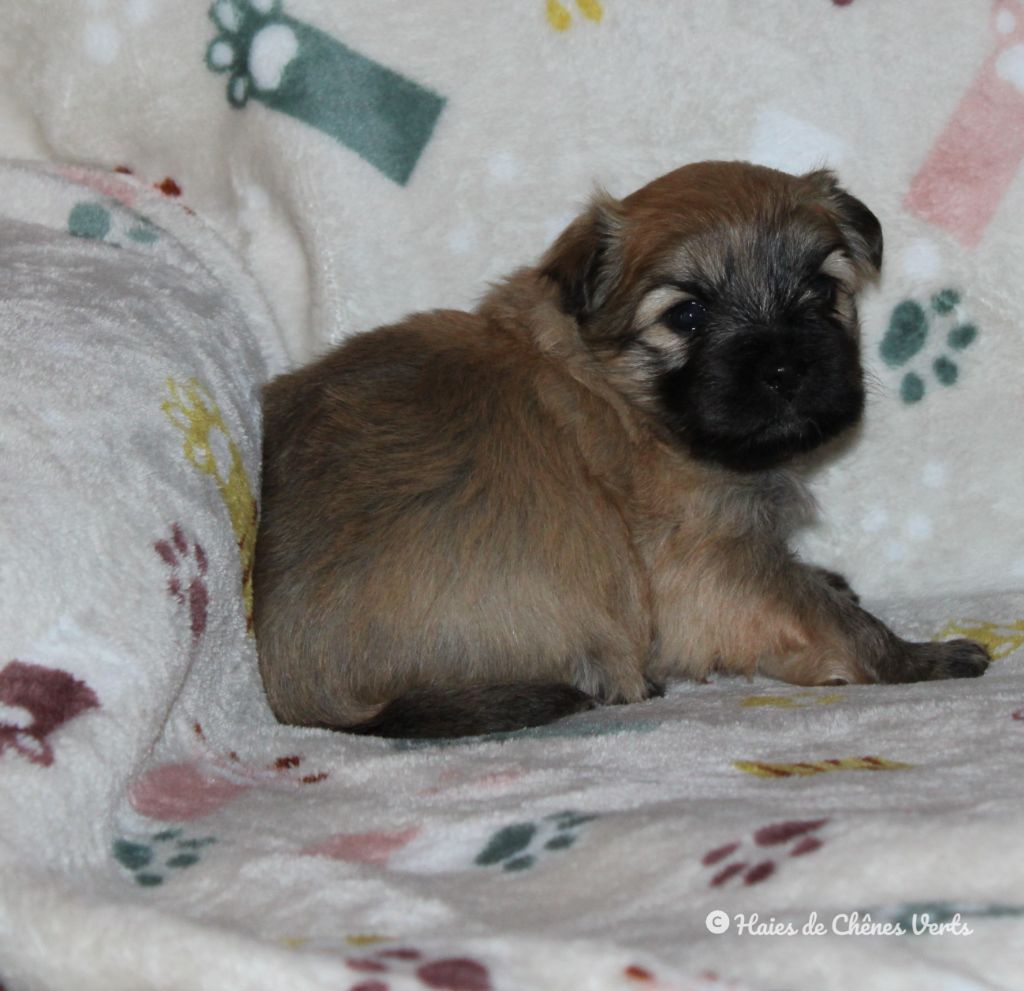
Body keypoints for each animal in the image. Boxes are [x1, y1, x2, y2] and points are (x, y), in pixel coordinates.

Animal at [253, 160, 983, 737]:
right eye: (687, 316)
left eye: (825, 291)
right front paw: (921, 658)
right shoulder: (716, 568)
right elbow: (833, 620)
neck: (625, 397)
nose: (785, 368)